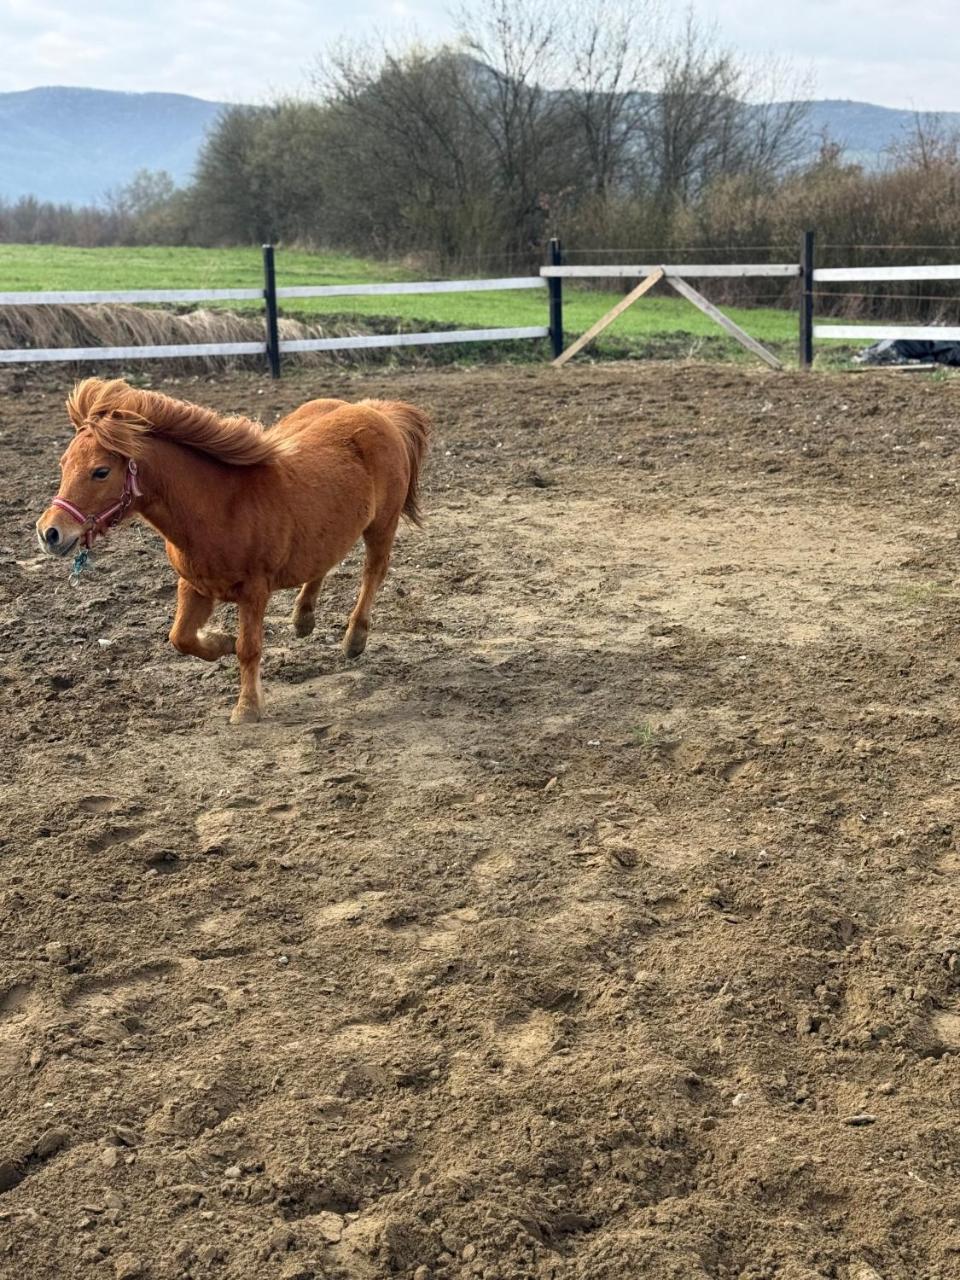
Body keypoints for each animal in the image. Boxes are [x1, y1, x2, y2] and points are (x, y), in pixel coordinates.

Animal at [35, 378, 430, 724]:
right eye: (63, 463)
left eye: (101, 471)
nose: (49, 532)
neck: (220, 506)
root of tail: (377, 411)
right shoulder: (193, 585)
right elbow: (180, 638)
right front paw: (220, 642)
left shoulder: (254, 591)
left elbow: (248, 648)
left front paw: (247, 708)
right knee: (323, 562)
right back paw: (303, 618)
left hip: (382, 526)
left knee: (373, 572)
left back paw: (354, 638)